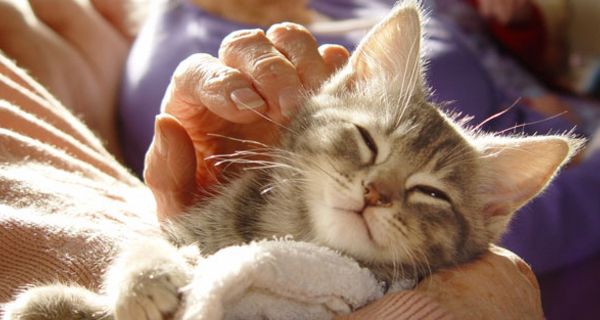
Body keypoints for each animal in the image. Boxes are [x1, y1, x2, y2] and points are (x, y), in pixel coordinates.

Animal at [2, 1, 580, 318]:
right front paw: (141, 279)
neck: (295, 231)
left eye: (431, 193)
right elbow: (149, 243)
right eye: (366, 140)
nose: (376, 193)